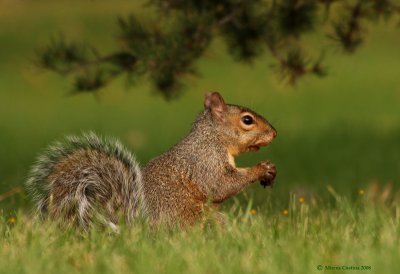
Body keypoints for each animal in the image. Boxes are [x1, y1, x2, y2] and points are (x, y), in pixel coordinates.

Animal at [26, 91, 276, 229]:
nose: (274, 133)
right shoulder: (204, 161)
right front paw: (260, 169)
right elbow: (220, 185)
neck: (212, 137)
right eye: (247, 120)